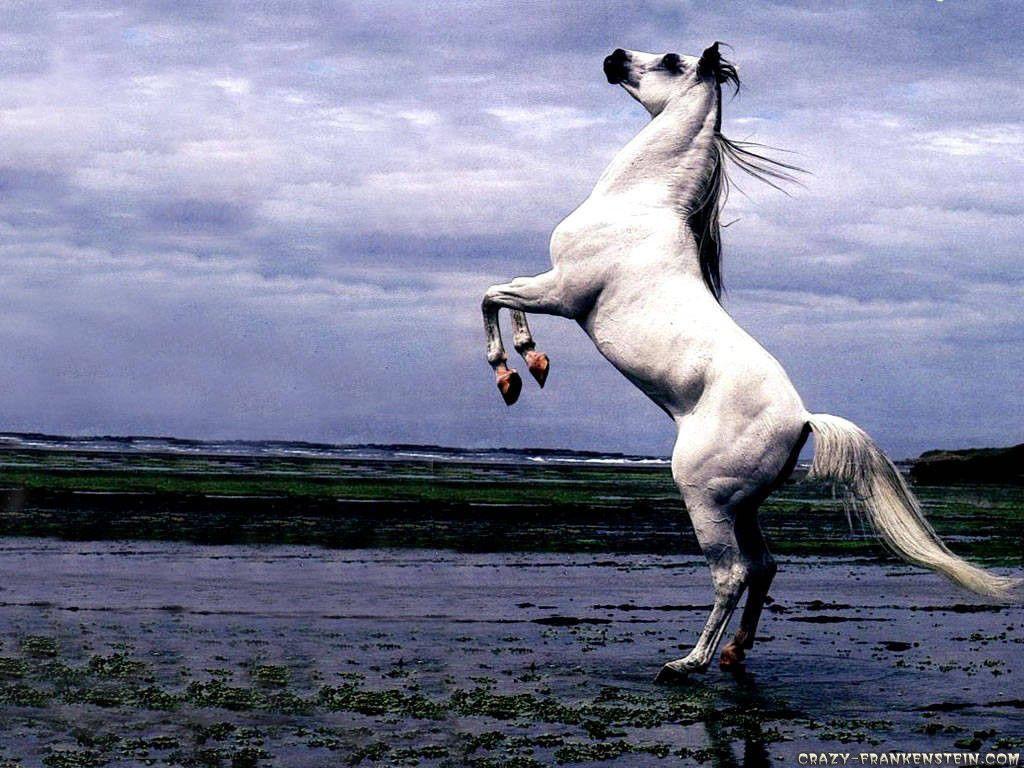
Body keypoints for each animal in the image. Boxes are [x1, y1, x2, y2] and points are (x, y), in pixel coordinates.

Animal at [481, 43, 1019, 681]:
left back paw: (687, 663)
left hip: (704, 499)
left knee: (731, 573)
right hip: (744, 506)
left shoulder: (564, 293)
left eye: (670, 60)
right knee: (764, 567)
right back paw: (735, 652)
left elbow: (494, 295)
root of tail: (803, 420)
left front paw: (516, 369)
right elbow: (500, 295)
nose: (614, 57)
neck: (639, 203)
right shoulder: (554, 289)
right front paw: (528, 367)